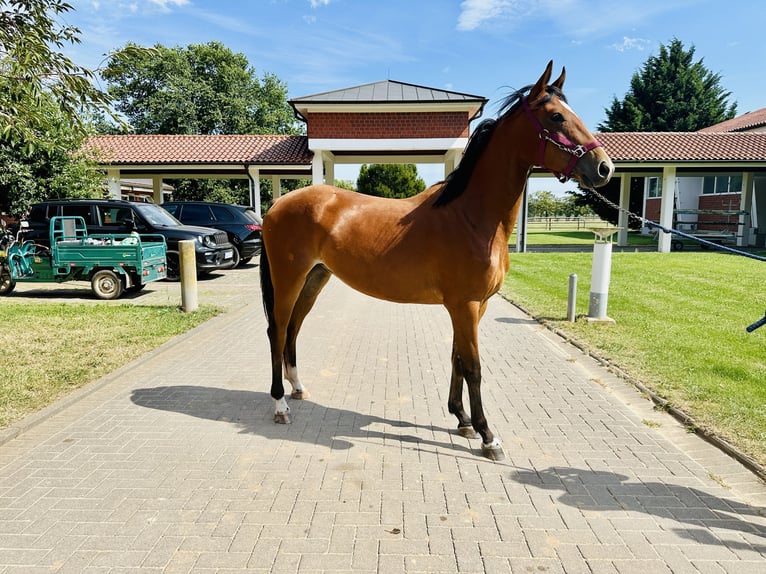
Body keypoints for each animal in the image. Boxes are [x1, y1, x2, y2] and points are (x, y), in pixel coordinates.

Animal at [259, 61, 614, 460]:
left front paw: (462, 419)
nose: (604, 167)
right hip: (288, 279)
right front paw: (487, 435)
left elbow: (457, 357)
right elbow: (473, 366)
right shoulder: (465, 305)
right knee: (277, 331)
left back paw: (298, 388)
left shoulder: (475, 306)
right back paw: (280, 405)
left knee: (293, 329)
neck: (470, 216)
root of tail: (278, 203)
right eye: (556, 116)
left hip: (314, 279)